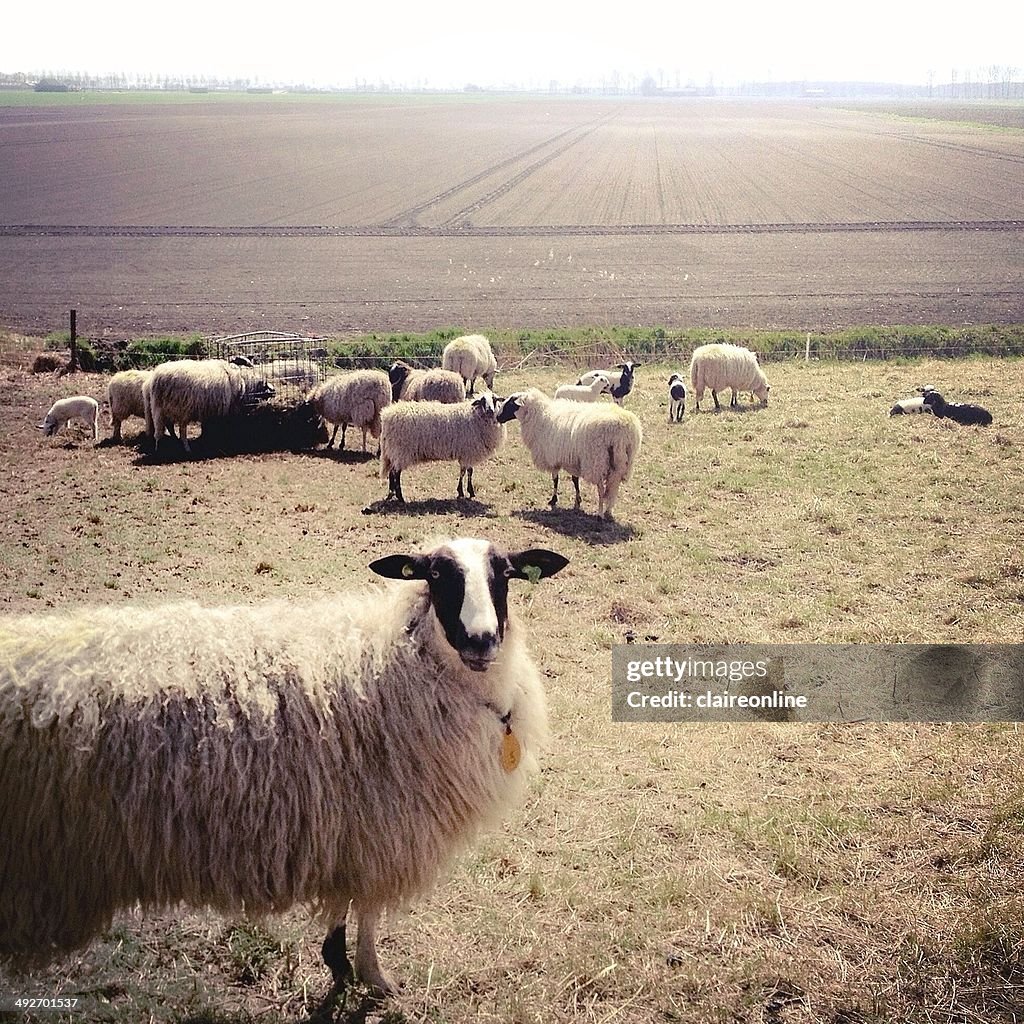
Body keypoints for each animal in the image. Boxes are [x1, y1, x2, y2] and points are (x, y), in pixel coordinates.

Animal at [144, 362, 274, 454]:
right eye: (265, 386)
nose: (274, 392)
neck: (244, 385)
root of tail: (156, 378)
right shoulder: (227, 411)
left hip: (164, 409)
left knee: (169, 426)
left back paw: (174, 441)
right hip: (177, 409)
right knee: (175, 430)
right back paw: (177, 448)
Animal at [495, 385, 638, 520]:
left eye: (511, 403)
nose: (497, 417)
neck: (540, 416)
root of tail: (621, 428)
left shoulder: (552, 456)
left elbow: (555, 479)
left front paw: (554, 500)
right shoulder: (573, 459)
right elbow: (575, 480)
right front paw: (577, 501)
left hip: (596, 461)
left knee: (601, 490)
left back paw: (600, 514)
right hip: (621, 462)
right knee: (613, 487)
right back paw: (609, 512)